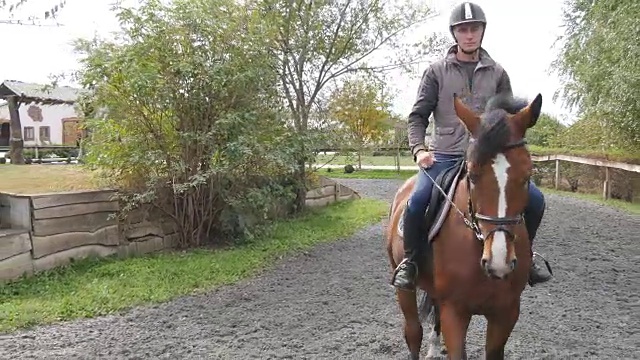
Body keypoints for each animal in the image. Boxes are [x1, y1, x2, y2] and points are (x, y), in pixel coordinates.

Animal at [388, 93, 544, 360]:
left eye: (527, 175)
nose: (498, 261)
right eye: (471, 175)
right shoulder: (455, 311)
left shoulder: (507, 312)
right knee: (413, 332)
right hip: (404, 290)